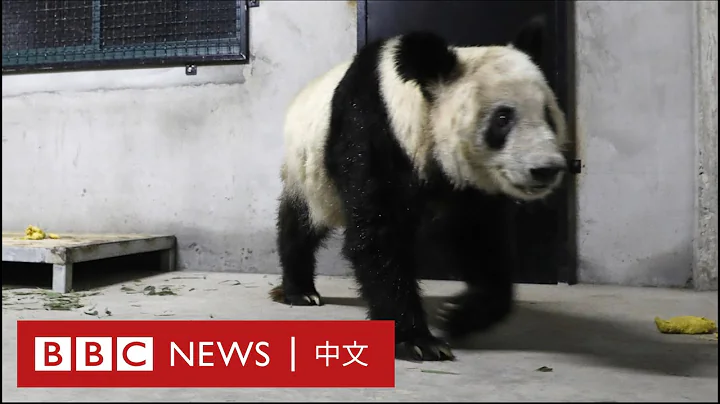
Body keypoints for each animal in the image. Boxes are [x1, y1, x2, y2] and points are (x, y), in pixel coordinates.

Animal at [270, 15, 568, 362]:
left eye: (548, 114)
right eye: (503, 118)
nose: (546, 169)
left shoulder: (467, 186)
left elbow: (479, 238)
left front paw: (458, 316)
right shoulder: (373, 133)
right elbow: (378, 236)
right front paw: (418, 340)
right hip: (310, 171)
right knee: (301, 222)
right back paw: (300, 290)